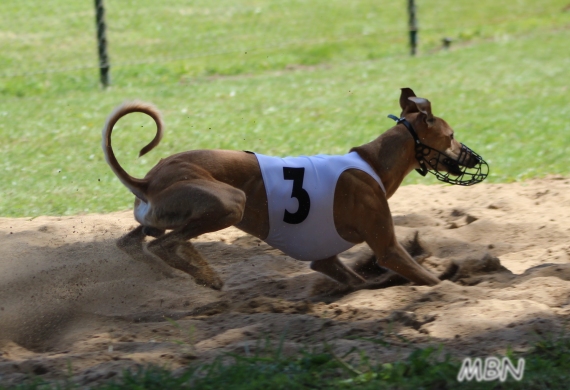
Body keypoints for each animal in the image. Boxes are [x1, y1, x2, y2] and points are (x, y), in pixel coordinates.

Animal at [102, 87, 484, 290]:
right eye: (451, 135)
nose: (472, 156)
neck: (372, 163)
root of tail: (148, 180)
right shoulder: (387, 247)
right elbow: (427, 277)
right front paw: (451, 285)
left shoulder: (326, 260)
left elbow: (360, 281)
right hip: (231, 201)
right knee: (165, 243)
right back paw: (204, 275)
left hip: (158, 218)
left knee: (135, 242)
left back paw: (181, 271)